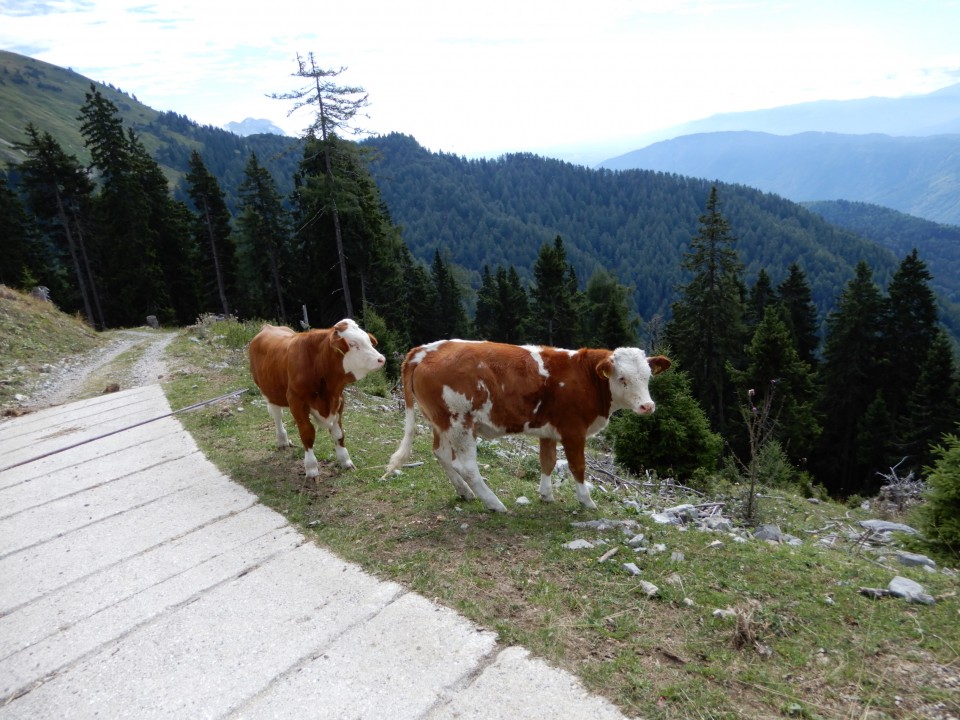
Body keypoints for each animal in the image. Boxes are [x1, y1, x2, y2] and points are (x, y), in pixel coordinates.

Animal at [248, 320, 386, 478]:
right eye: (352, 344)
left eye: (368, 340)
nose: (381, 359)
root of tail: (268, 327)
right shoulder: (296, 402)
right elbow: (307, 434)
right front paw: (311, 468)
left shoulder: (339, 400)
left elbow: (339, 434)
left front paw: (345, 461)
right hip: (269, 392)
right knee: (277, 416)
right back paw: (282, 441)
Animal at [378, 338, 672, 512]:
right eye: (622, 378)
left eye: (647, 377)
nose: (647, 406)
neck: (585, 377)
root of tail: (425, 350)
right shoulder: (573, 430)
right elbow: (578, 467)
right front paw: (587, 501)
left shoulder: (549, 430)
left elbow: (547, 461)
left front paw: (546, 495)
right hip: (461, 422)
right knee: (466, 465)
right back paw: (494, 503)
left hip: (441, 421)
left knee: (440, 454)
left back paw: (465, 493)